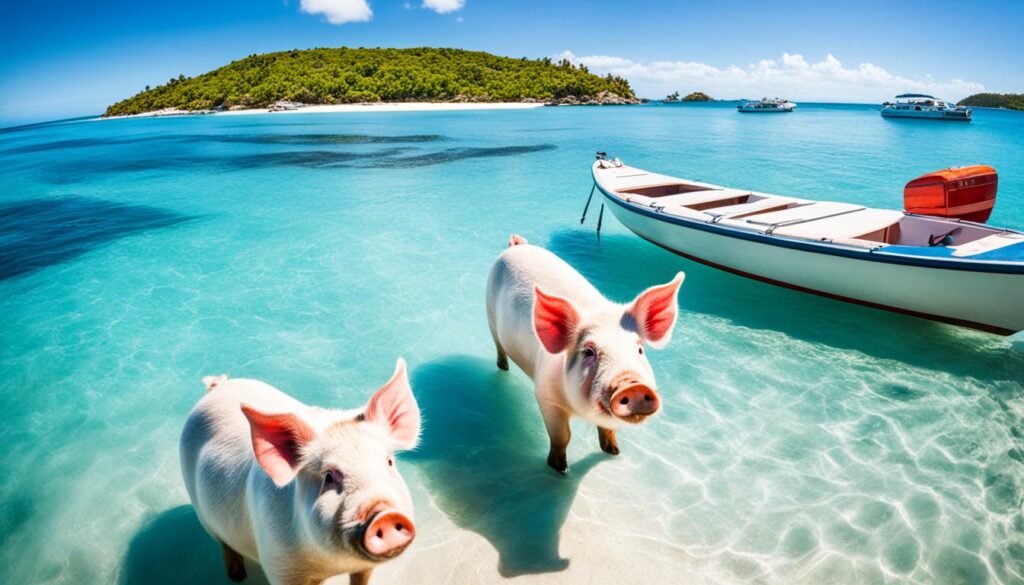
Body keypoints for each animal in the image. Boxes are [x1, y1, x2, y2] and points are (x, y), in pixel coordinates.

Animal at [179, 359, 421, 585]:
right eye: (329, 476)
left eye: (388, 462)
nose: (385, 513)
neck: (333, 565)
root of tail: (218, 386)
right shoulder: (280, 566)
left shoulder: (363, 567)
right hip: (201, 512)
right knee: (223, 543)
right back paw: (237, 575)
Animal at [486, 235, 684, 474]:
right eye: (589, 352)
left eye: (639, 348)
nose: (632, 384)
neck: (583, 412)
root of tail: (518, 246)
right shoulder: (545, 395)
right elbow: (562, 436)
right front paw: (560, 469)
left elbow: (609, 429)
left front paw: (614, 452)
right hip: (489, 313)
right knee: (499, 346)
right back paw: (503, 367)